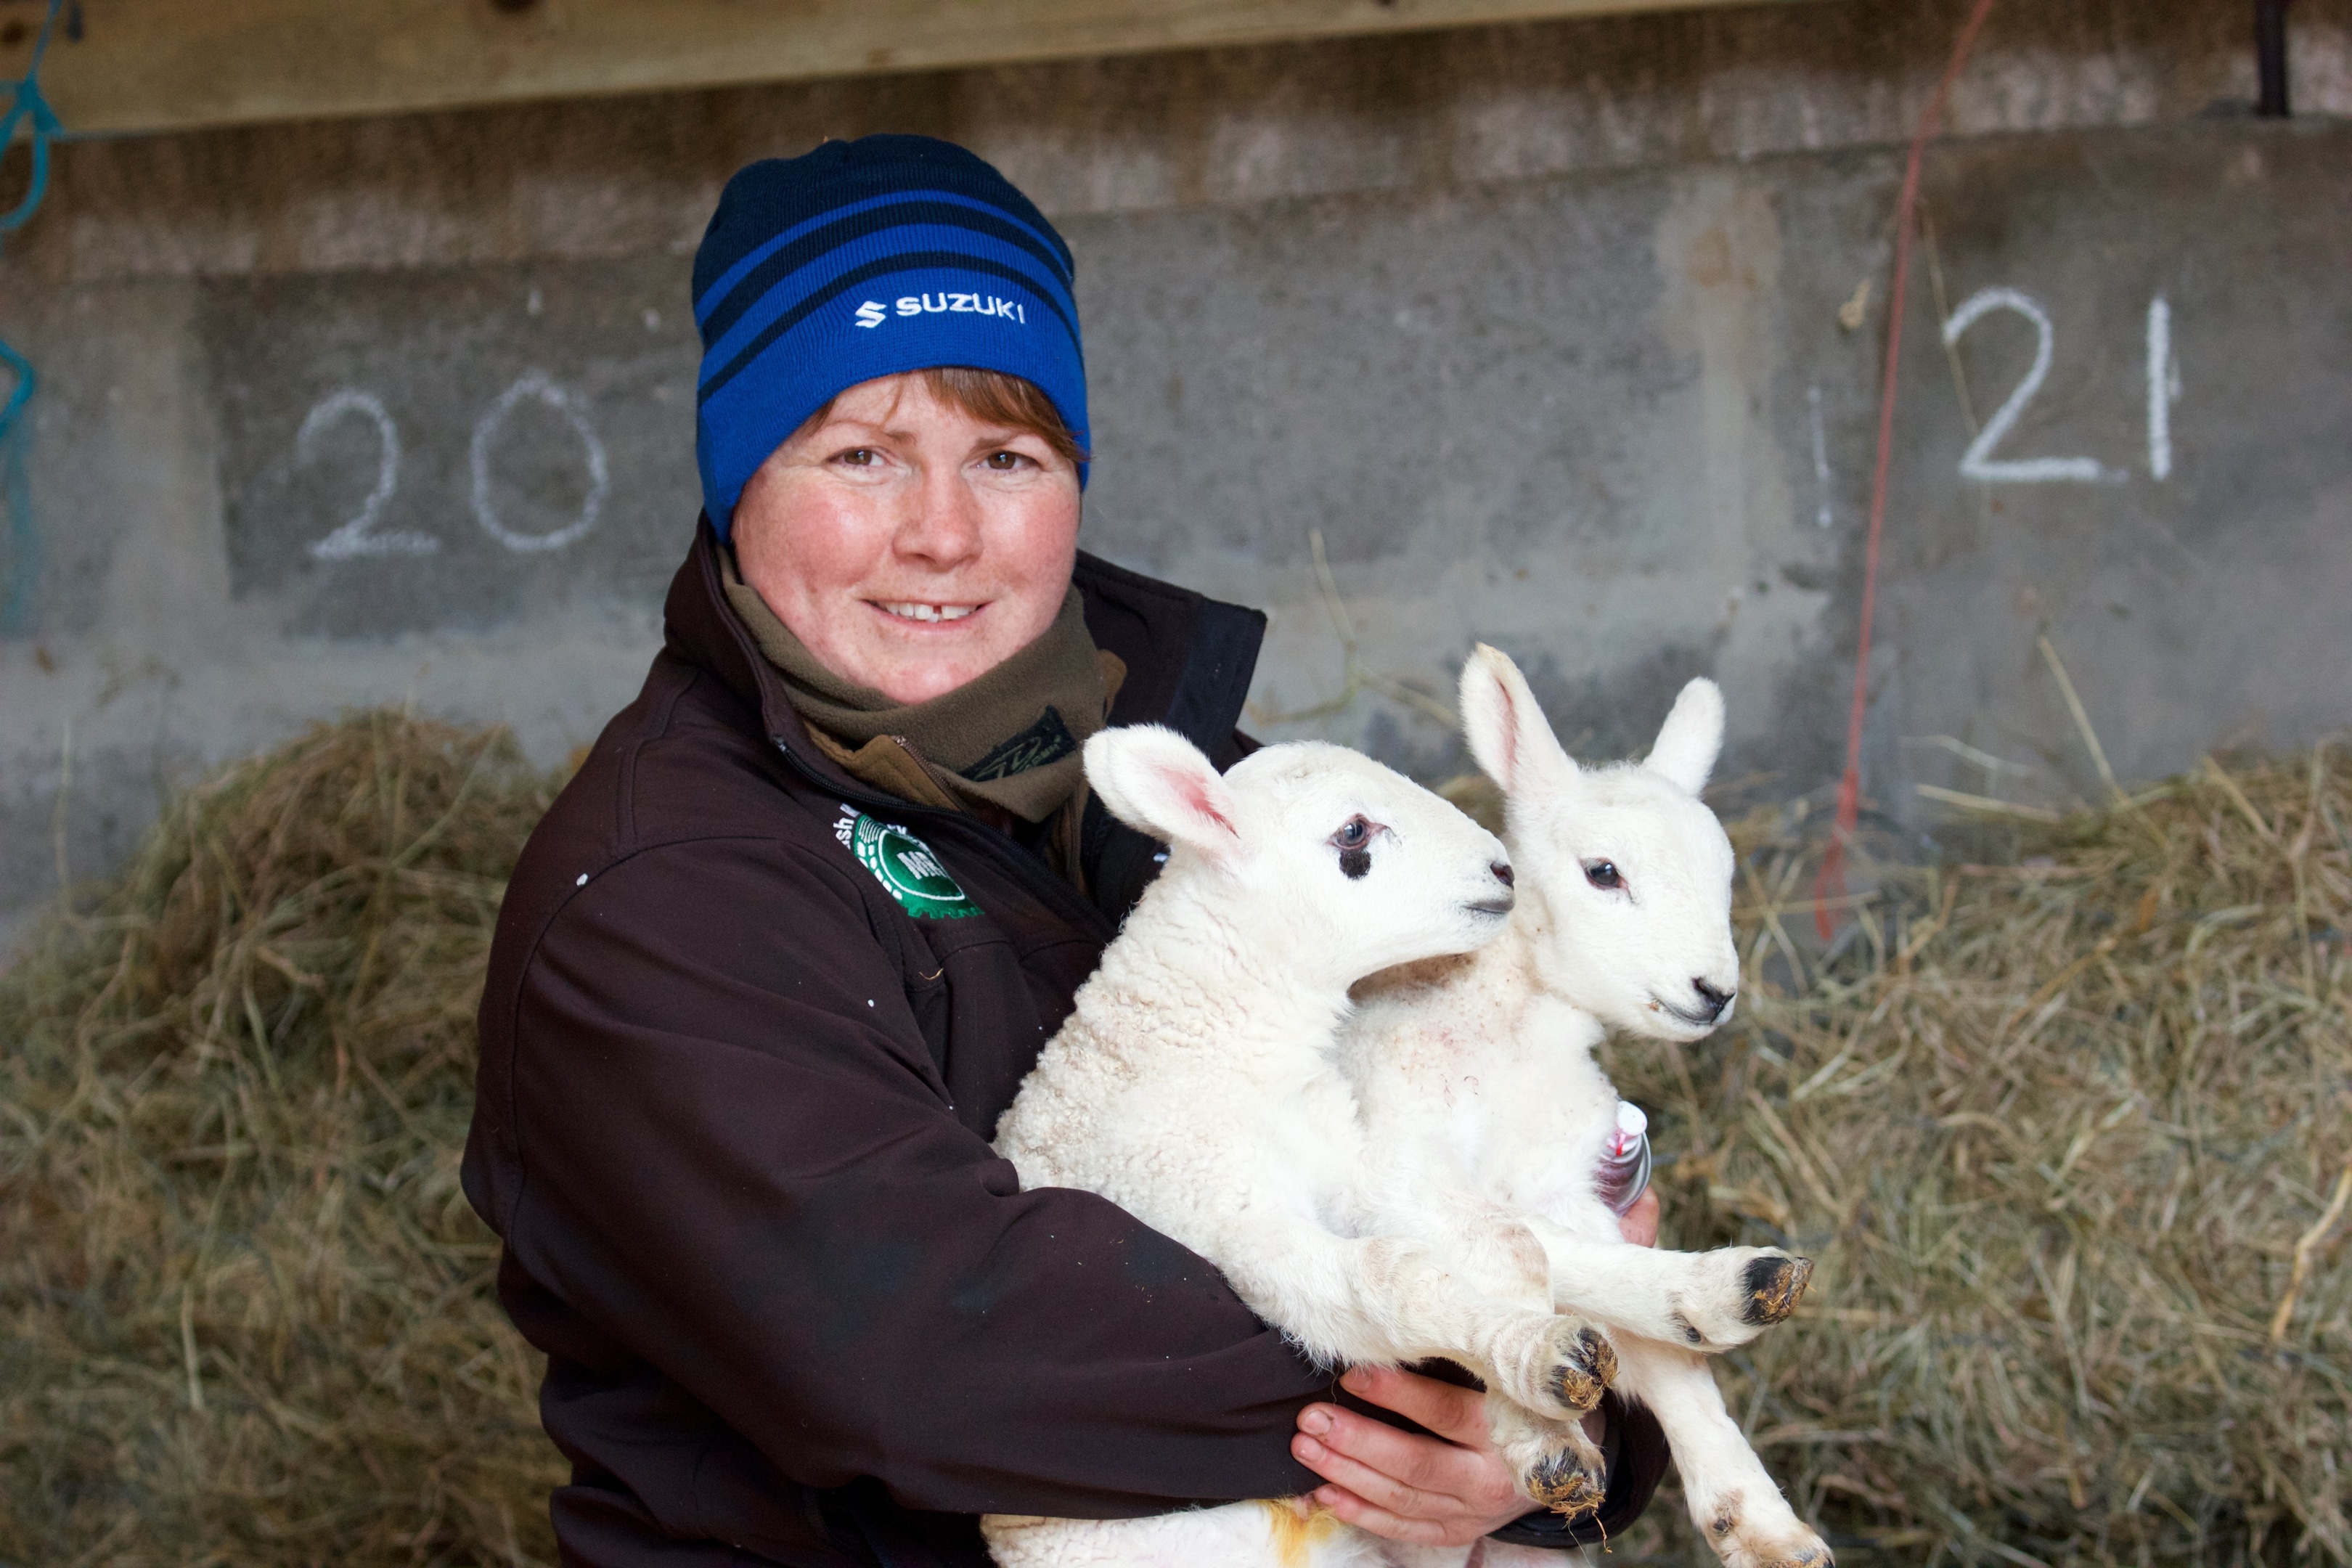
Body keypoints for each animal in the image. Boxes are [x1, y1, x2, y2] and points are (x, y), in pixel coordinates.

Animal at [978, 728, 1618, 1568]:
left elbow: (1503, 1244)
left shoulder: (1352, 1168)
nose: (1501, 871)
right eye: (1352, 833)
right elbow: (1395, 1281)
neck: (1209, 1042)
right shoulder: (1232, 1223)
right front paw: (1544, 1360)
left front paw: (1543, 1427)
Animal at [1345, 644, 1834, 1568]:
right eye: (1603, 873)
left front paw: (1758, 1522)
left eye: (1726, 880)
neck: (1515, 1040)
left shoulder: (1564, 1181)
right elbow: (1520, 1252)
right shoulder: (1382, 1163)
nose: (1714, 992)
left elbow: (1657, 1353)